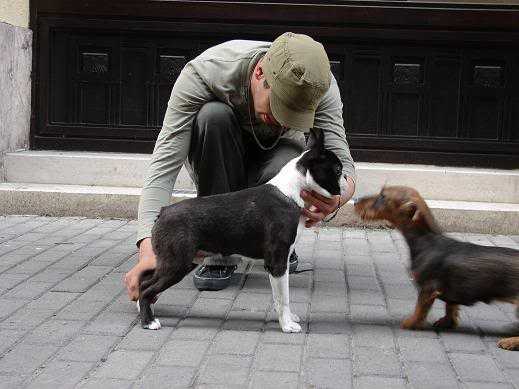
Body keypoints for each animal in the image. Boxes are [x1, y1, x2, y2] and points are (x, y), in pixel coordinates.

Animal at [140, 132, 348, 332]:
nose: (347, 178)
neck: (291, 191)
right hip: (177, 263)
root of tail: (163, 211)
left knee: (145, 283)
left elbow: (278, 297)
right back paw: (148, 321)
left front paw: (288, 319)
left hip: (185, 260)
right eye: (337, 170)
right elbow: (283, 298)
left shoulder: (280, 264)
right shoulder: (277, 262)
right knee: (145, 288)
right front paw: (287, 325)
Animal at [354, 183, 519, 350]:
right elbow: (450, 306)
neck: (427, 240)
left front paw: (410, 323)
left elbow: (420, 310)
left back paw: (510, 341)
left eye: (383, 196)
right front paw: (447, 322)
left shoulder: (428, 289)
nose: (355, 200)